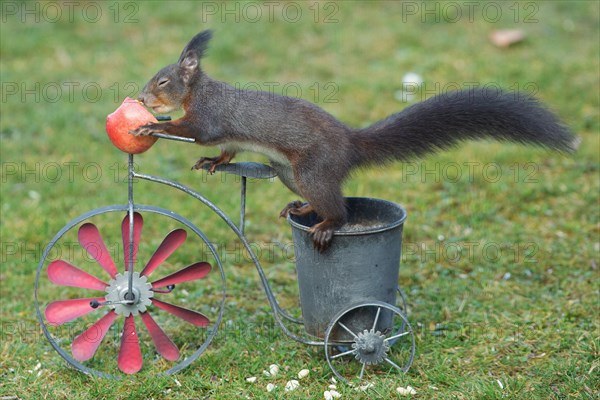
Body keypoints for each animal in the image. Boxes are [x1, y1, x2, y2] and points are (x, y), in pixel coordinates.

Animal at [132, 31, 576, 252]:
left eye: (163, 81)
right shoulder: (225, 134)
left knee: (340, 209)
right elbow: (227, 150)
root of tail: (350, 143)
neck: (199, 91)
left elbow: (192, 131)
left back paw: (327, 224)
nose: (142, 98)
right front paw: (212, 163)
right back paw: (301, 208)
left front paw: (151, 128)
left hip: (312, 170)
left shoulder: (208, 118)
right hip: (288, 172)